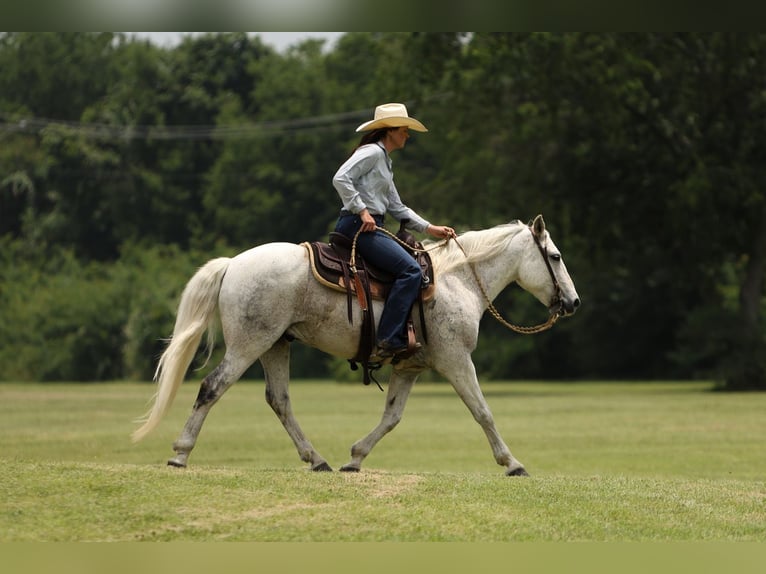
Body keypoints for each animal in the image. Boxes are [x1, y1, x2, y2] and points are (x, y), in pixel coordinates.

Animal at [134, 216, 584, 476]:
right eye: (556, 256)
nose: (573, 302)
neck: (457, 281)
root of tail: (232, 264)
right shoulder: (457, 362)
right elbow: (483, 412)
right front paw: (512, 463)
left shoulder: (409, 368)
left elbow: (392, 417)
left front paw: (354, 457)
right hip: (249, 344)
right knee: (212, 387)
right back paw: (180, 454)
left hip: (275, 345)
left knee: (279, 400)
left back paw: (317, 459)